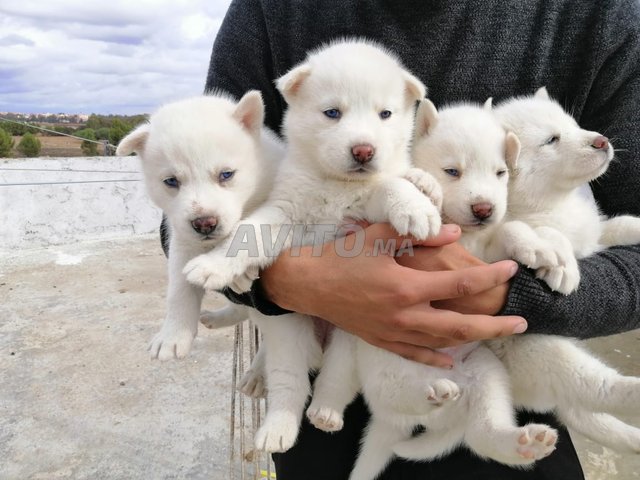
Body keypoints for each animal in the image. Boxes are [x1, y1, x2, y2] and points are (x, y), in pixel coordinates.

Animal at [115, 92, 284, 360]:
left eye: (226, 174)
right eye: (171, 181)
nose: (204, 223)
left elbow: (252, 229)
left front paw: (234, 270)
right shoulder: (182, 241)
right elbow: (179, 289)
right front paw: (172, 336)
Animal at [180, 39, 440, 452]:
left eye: (385, 114)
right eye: (332, 113)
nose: (364, 150)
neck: (336, 186)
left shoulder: (369, 206)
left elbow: (389, 183)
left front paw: (416, 207)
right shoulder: (285, 211)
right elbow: (249, 231)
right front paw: (214, 265)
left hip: (354, 335)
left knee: (335, 379)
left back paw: (325, 412)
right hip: (289, 330)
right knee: (290, 382)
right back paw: (277, 427)